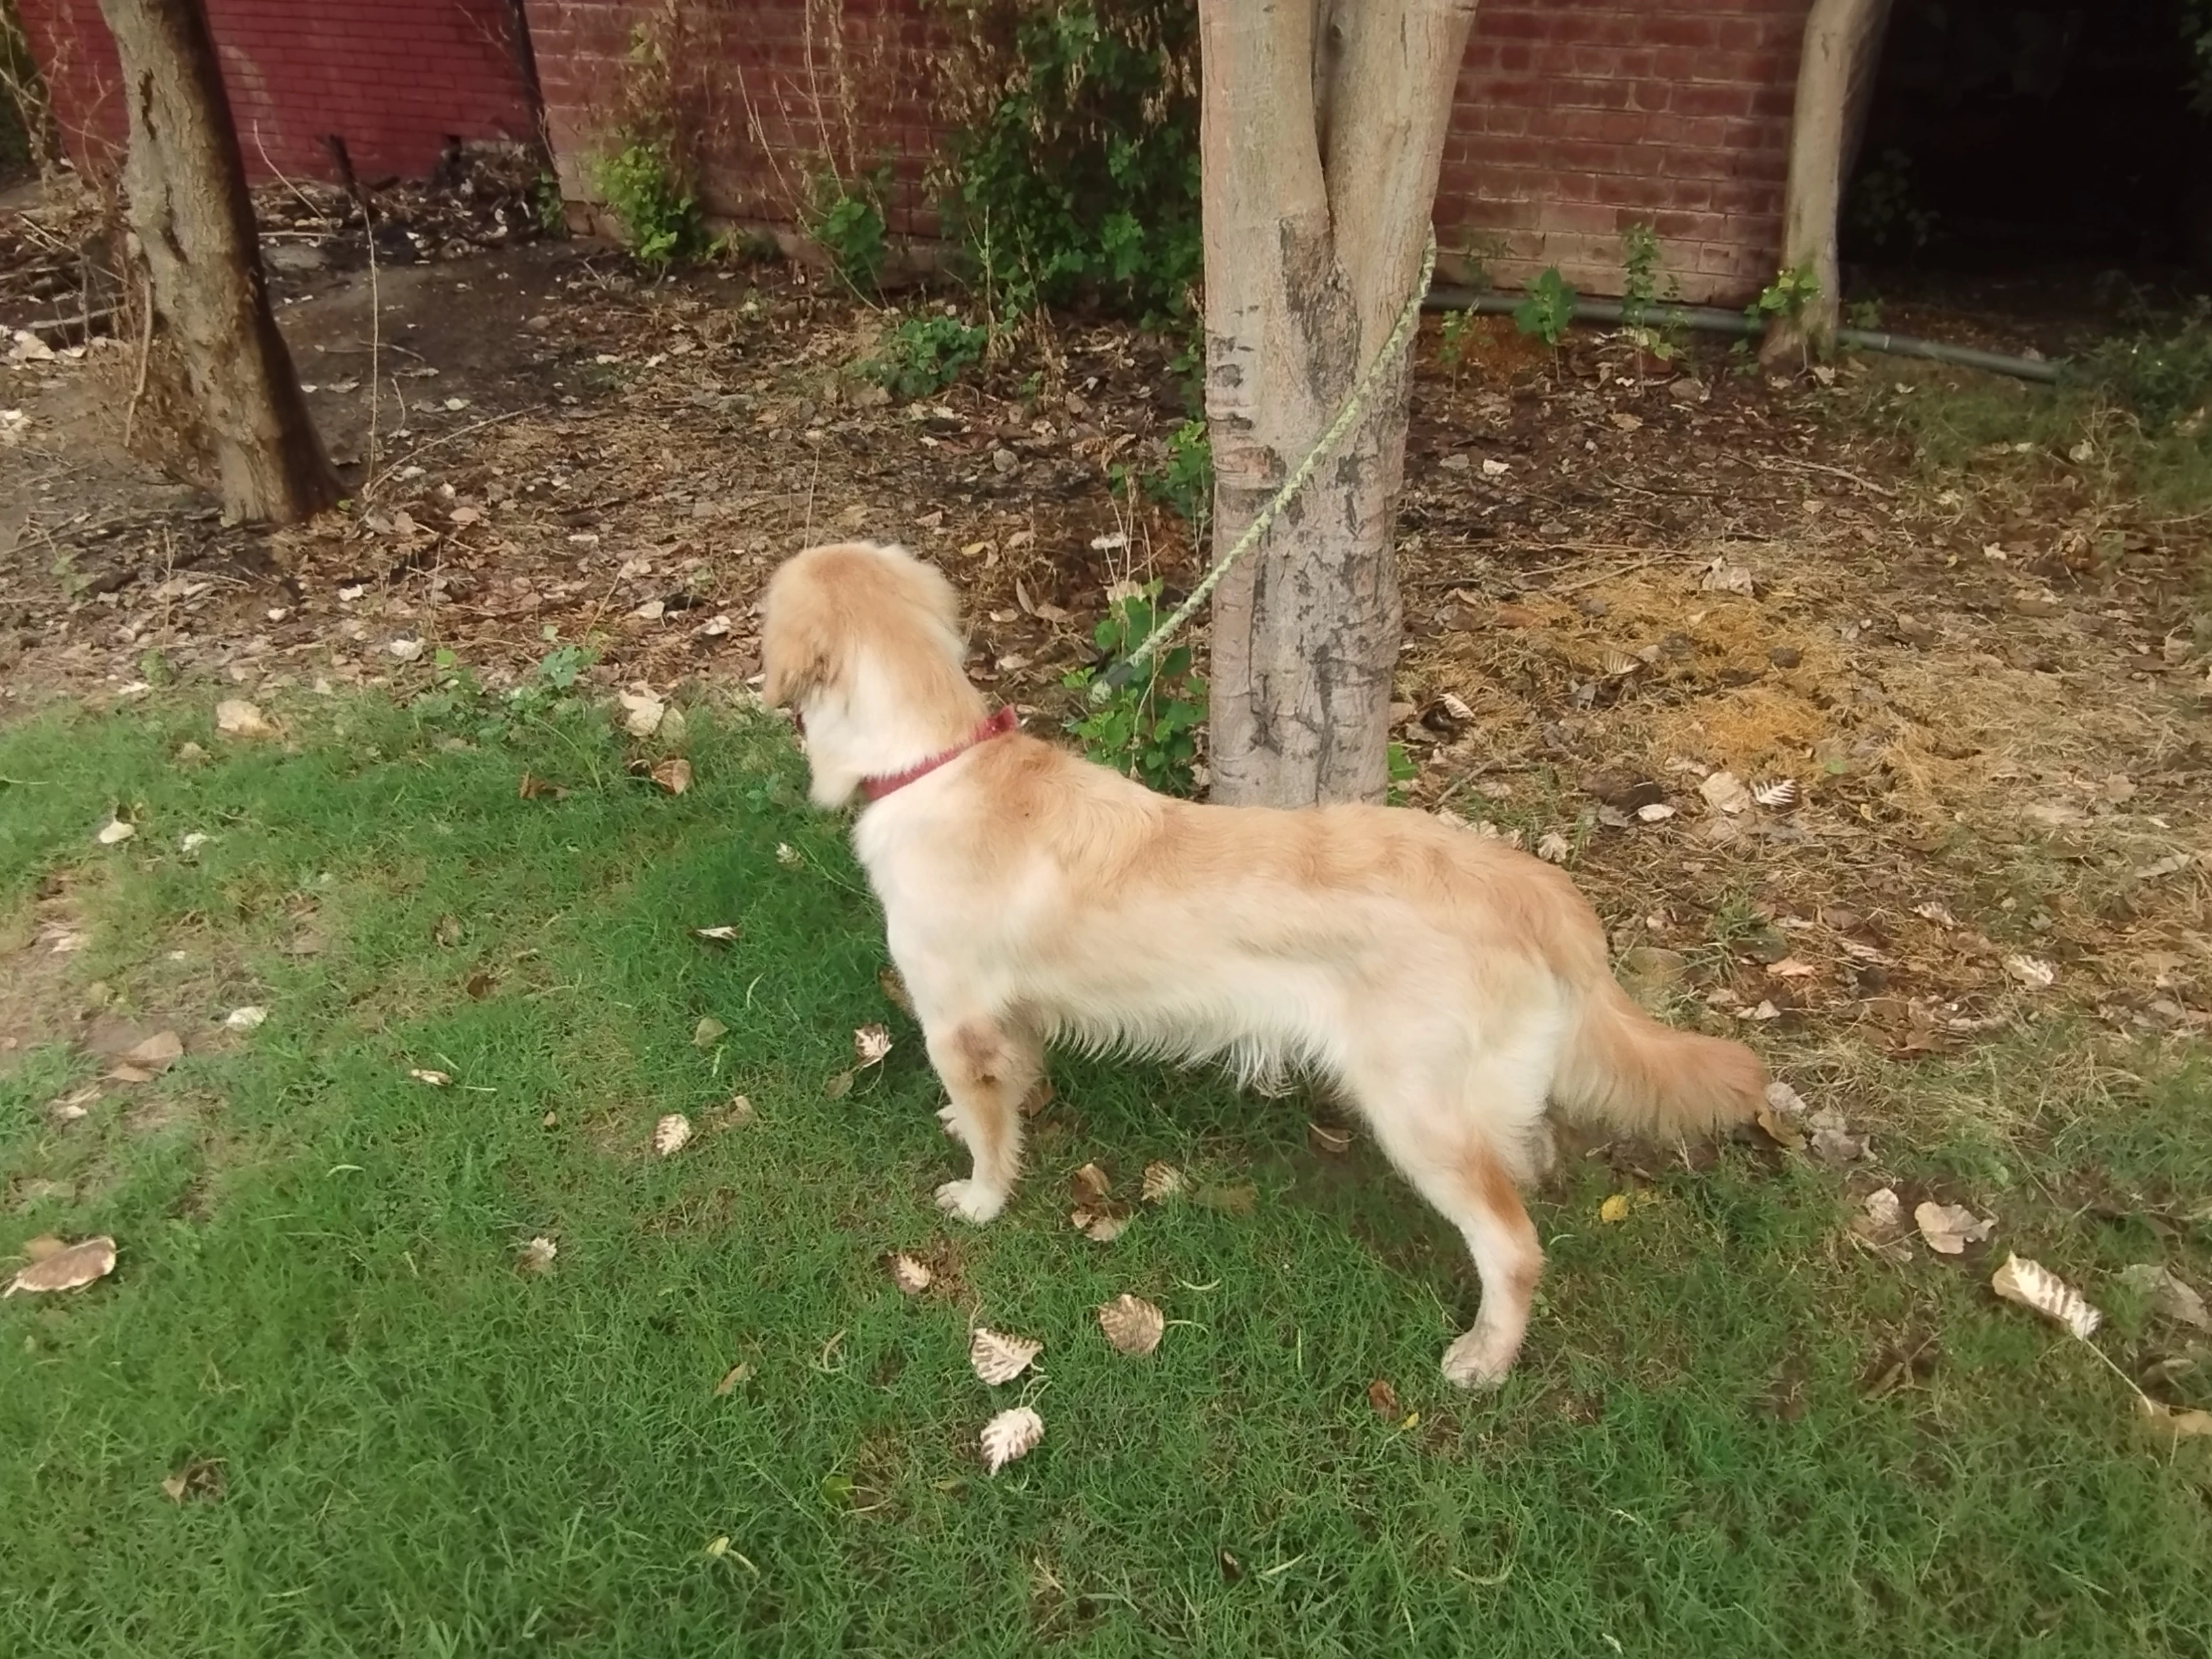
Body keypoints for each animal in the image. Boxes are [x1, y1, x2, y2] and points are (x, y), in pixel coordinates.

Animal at [760, 546, 1761, 1389]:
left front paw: (980, 1196)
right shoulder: (1009, 1016)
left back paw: (1484, 1356)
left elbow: (985, 1121)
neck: (936, 764)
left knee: (1514, 1246)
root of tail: (1535, 887)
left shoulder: (954, 1016)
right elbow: (1007, 1092)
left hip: (1418, 1111)